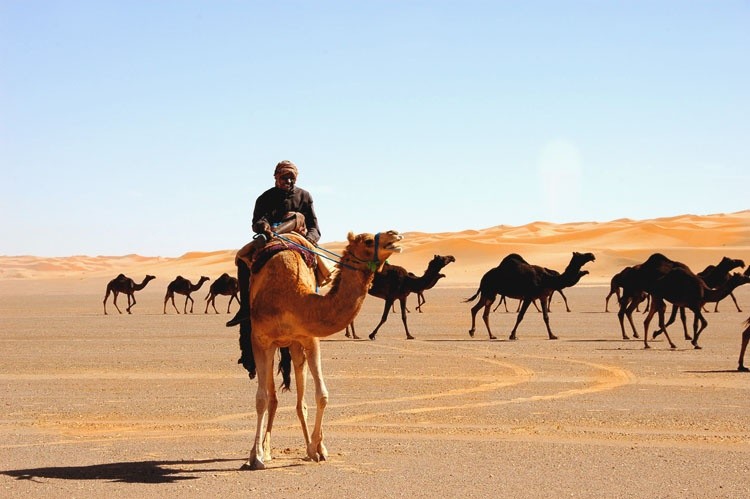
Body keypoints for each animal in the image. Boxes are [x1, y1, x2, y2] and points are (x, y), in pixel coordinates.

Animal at [244, 230, 402, 472]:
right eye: (367, 241)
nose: (395, 235)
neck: (291, 298)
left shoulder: (310, 338)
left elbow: (322, 395)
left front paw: (317, 448)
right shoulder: (260, 340)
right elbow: (261, 399)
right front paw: (256, 456)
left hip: (294, 346)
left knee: (300, 402)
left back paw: (307, 446)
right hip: (273, 347)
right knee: (272, 397)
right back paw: (267, 450)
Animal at [464, 252, 600, 342]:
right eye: (580, 255)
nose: (592, 255)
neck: (548, 279)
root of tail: (483, 277)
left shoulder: (543, 297)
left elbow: (546, 317)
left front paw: (552, 335)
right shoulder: (529, 296)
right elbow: (520, 316)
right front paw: (512, 335)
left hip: (491, 293)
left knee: (480, 311)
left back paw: (488, 335)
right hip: (489, 290)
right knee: (478, 310)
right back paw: (474, 332)